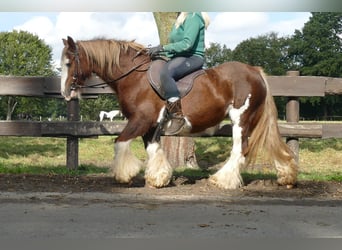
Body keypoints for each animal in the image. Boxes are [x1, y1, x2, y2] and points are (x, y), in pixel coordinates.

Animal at [60, 36, 298, 188]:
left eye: (69, 62)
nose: (65, 93)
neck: (135, 77)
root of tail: (255, 71)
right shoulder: (151, 126)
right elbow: (153, 150)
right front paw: (159, 178)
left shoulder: (140, 121)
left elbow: (120, 142)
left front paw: (124, 174)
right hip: (253, 121)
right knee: (272, 144)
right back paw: (286, 176)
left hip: (241, 120)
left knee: (240, 149)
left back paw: (223, 180)